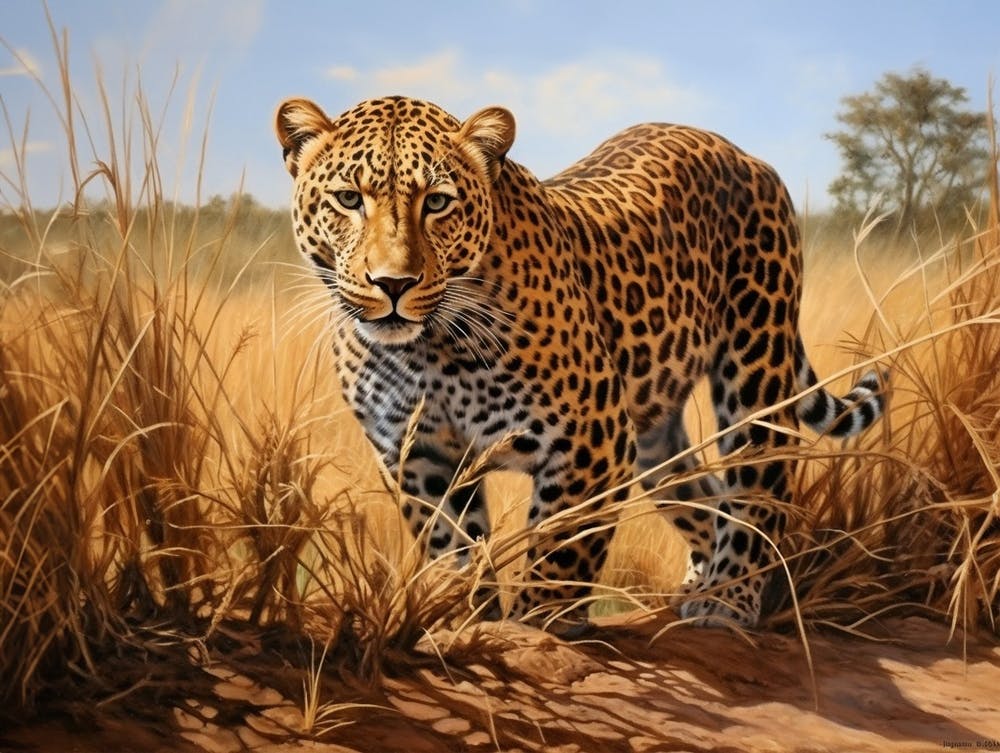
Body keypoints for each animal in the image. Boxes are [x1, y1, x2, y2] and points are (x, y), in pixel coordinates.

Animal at [274, 94, 887, 631]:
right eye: (348, 199)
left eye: (438, 202)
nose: (393, 283)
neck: (429, 350)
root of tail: (739, 150)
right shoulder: (417, 455)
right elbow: (453, 546)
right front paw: (464, 616)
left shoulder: (592, 441)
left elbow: (559, 548)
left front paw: (536, 625)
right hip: (654, 437)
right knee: (701, 495)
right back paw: (701, 579)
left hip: (755, 366)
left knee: (758, 484)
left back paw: (727, 598)